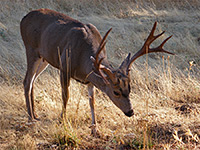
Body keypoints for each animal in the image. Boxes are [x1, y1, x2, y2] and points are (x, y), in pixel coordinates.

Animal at [19, 8, 173, 135]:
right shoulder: (64, 67)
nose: (130, 112)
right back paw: (30, 118)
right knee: (27, 81)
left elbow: (92, 102)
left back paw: (35, 114)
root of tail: (23, 18)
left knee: (33, 81)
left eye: (130, 88)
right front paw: (62, 121)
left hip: (44, 58)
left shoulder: (89, 79)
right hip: (31, 48)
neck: (83, 59)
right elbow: (65, 96)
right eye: (116, 92)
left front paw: (95, 128)